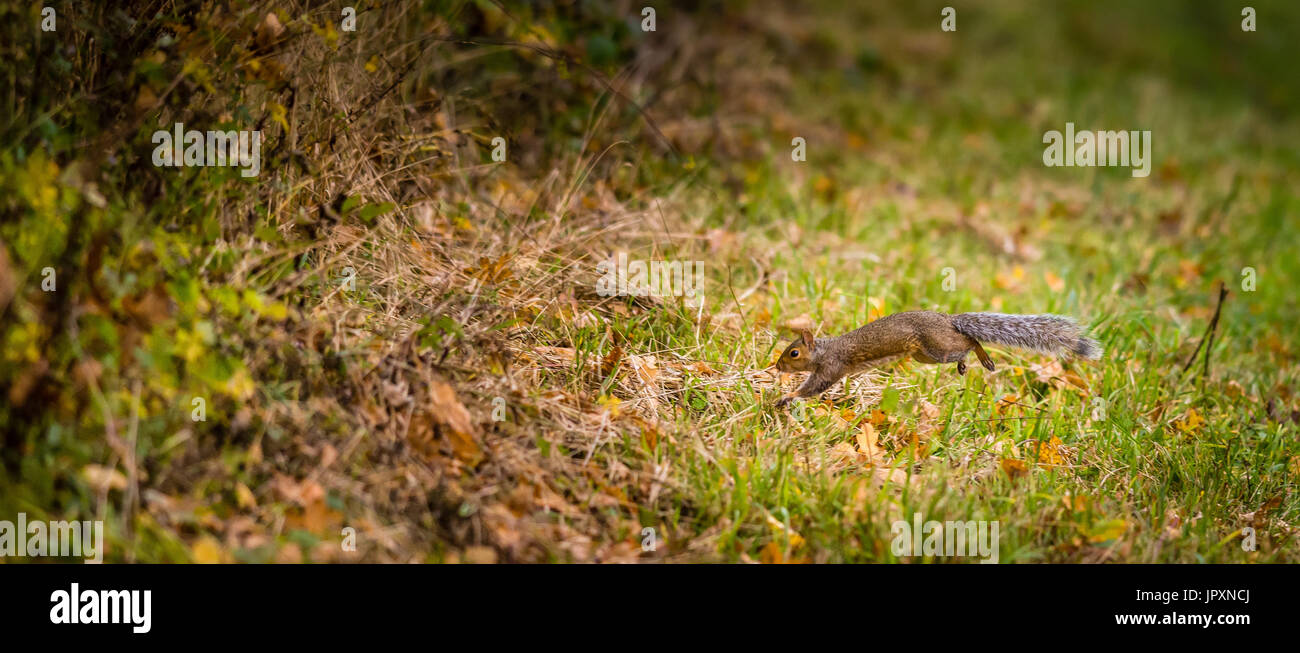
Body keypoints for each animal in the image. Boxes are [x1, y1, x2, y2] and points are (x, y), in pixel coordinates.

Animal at [774, 312, 1102, 408]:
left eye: (794, 353)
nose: (776, 367)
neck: (823, 350)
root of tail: (948, 320)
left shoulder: (830, 367)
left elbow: (814, 387)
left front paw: (787, 396)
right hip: (925, 355)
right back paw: (966, 364)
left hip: (937, 348)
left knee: (970, 341)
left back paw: (981, 358)